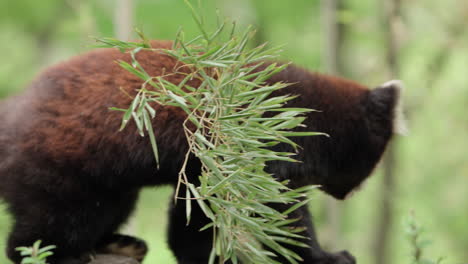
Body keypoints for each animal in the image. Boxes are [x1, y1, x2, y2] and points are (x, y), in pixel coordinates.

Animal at [0, 40, 402, 262]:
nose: (346, 195)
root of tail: (12, 108)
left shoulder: (203, 166)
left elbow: (194, 216)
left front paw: (197, 254)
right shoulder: (258, 143)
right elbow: (279, 214)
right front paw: (324, 256)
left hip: (107, 185)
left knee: (110, 207)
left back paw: (117, 243)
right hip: (60, 165)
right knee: (53, 222)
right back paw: (60, 255)